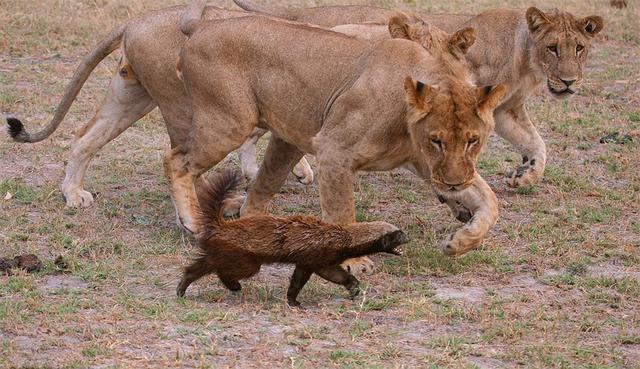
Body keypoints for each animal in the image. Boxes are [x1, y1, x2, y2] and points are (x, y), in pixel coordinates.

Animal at [164, 1, 504, 268]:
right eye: (437, 141)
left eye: (473, 141)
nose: (454, 185)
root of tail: (202, 26)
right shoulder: (333, 151)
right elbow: (342, 213)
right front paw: (355, 261)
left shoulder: (428, 165)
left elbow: (489, 199)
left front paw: (460, 242)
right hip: (228, 123)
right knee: (176, 160)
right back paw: (192, 222)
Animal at [234, 0, 604, 188]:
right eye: (553, 47)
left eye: (579, 48)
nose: (569, 82)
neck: (525, 58)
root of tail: (306, 14)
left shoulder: (504, 111)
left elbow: (536, 144)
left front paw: (525, 175)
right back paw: (291, 171)